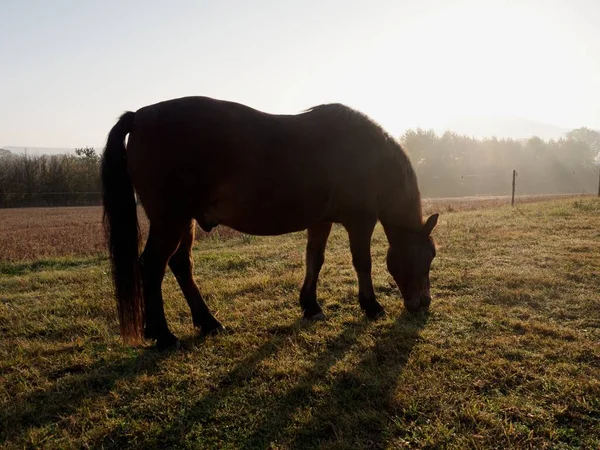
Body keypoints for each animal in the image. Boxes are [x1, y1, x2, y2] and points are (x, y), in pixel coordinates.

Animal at [101, 96, 438, 348]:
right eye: (428, 255)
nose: (423, 303)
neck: (367, 156)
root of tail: (140, 116)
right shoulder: (360, 221)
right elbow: (362, 262)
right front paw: (371, 306)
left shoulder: (320, 221)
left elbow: (314, 259)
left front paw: (311, 306)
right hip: (170, 220)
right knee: (152, 266)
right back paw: (164, 334)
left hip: (185, 221)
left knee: (181, 264)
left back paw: (208, 323)